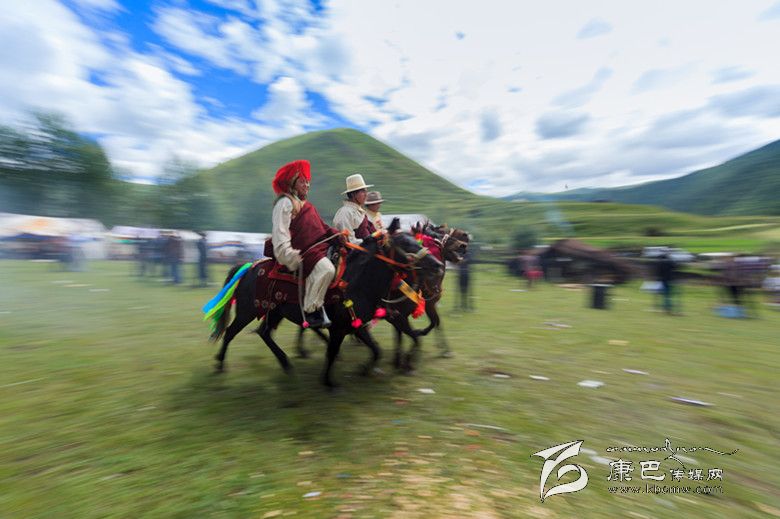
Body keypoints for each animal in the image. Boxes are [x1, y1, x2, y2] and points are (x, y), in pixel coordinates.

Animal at [207, 218, 444, 388]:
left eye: (419, 242)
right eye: (405, 244)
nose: (438, 266)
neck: (359, 281)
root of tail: (249, 267)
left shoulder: (359, 324)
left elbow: (379, 348)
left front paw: (369, 369)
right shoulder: (344, 327)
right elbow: (334, 351)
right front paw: (329, 381)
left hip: (275, 312)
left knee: (264, 333)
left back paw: (286, 363)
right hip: (248, 311)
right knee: (231, 332)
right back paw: (219, 365)